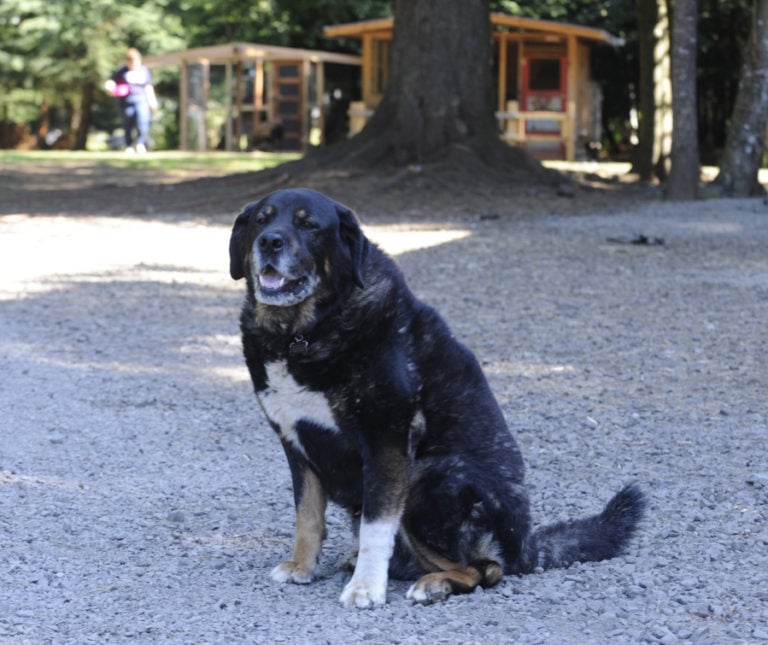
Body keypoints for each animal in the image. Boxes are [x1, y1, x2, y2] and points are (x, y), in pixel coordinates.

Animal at [226, 187, 640, 608]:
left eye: (309, 225)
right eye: (262, 219)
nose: (270, 241)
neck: (302, 334)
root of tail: (527, 548)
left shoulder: (386, 441)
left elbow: (377, 527)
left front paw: (366, 587)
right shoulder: (297, 444)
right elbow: (307, 516)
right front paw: (302, 567)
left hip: (430, 480)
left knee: (484, 569)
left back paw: (434, 583)